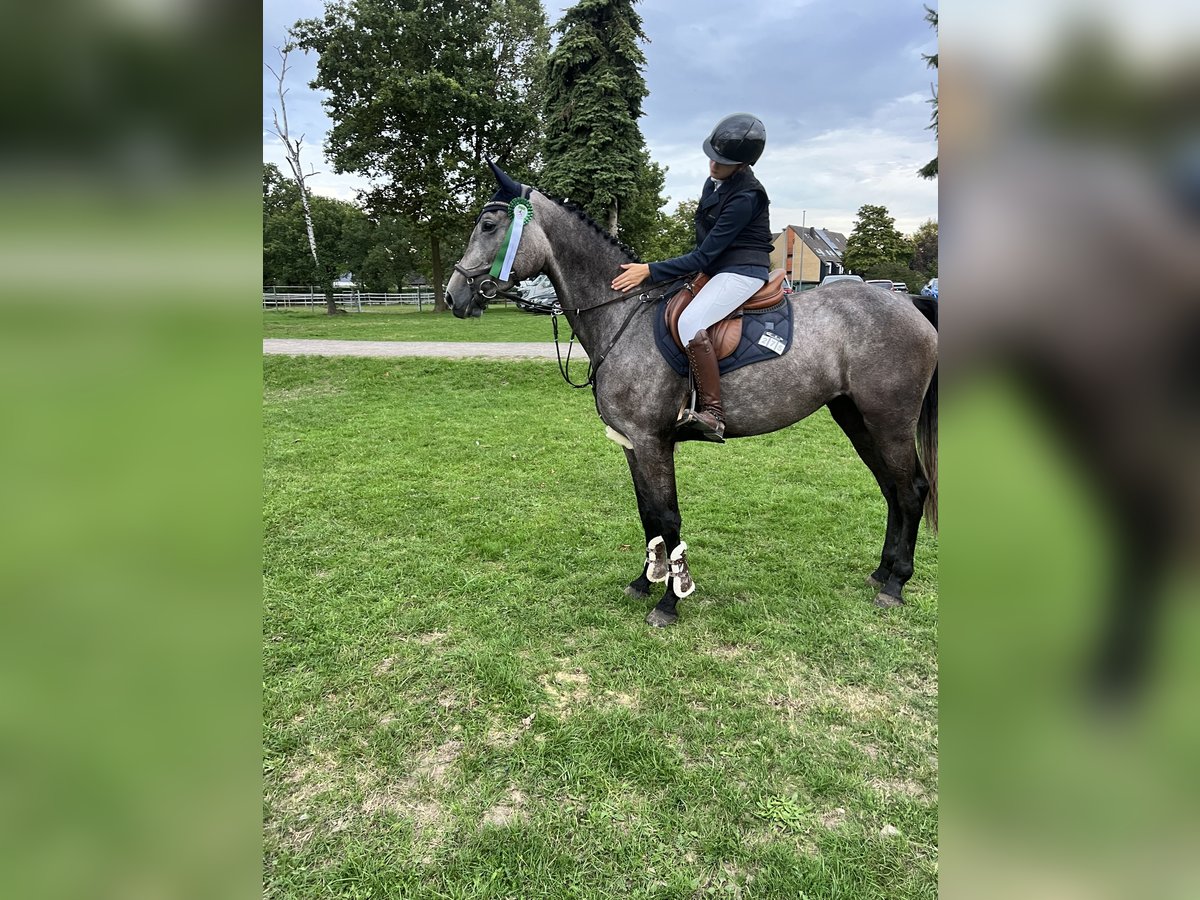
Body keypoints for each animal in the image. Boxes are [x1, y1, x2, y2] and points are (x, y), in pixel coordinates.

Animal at [446, 164, 938, 627]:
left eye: (489, 226)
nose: (454, 297)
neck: (622, 317)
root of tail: (909, 304)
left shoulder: (652, 442)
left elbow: (668, 517)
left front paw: (670, 600)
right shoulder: (632, 445)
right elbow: (648, 515)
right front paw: (643, 582)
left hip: (890, 422)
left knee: (912, 489)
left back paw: (895, 584)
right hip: (856, 418)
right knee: (891, 489)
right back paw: (881, 571)